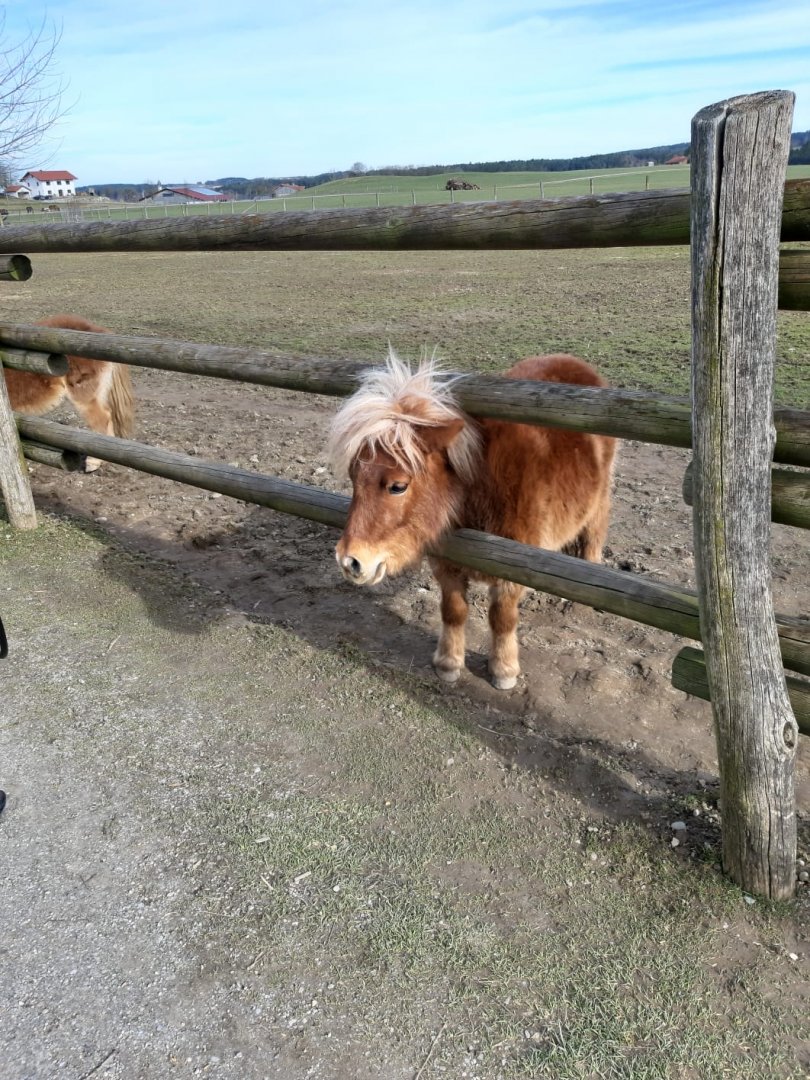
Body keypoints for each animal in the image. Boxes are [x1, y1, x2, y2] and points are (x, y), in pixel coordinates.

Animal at [329, 350, 616, 690]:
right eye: (353, 478)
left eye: (397, 486)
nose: (350, 562)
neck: (483, 485)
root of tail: (572, 361)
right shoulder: (447, 564)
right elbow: (453, 611)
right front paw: (449, 663)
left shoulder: (512, 569)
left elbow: (502, 618)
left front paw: (504, 670)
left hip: (599, 499)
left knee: (594, 534)